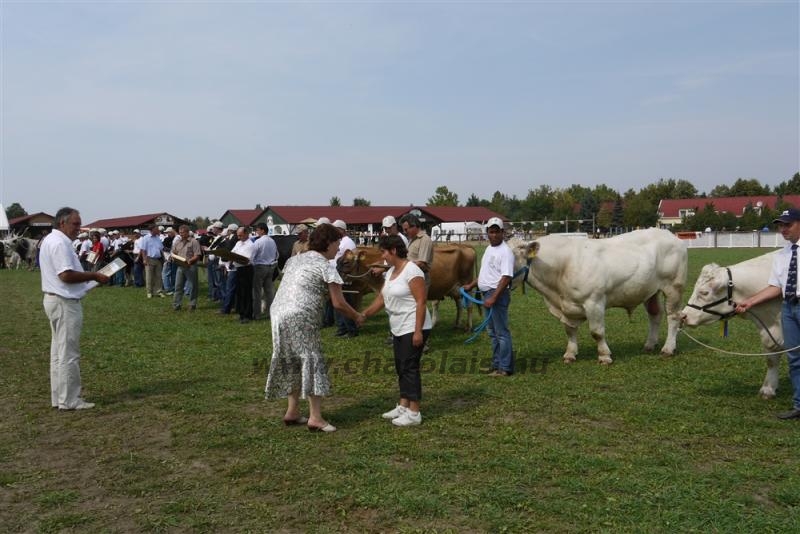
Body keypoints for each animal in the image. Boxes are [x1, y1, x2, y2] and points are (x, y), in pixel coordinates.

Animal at [336, 247, 478, 330]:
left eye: (346, 262)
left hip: (467, 284)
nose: (335, 276)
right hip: (455, 289)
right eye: (337, 261)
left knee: (470, 306)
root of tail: (466, 248)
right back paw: (456, 324)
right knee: (459, 305)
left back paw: (469, 327)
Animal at [512, 228, 688, 366]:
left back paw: (668, 349)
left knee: (673, 317)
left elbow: (597, 332)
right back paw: (650, 345)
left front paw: (604, 356)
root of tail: (671, 236)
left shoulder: (594, 302)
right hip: (650, 290)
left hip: (673, 287)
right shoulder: (567, 306)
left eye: (511, 256)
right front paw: (570, 354)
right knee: (655, 315)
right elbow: (570, 330)